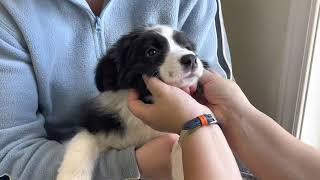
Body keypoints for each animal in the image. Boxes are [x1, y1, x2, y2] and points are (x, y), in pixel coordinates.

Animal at [57, 25, 208, 180]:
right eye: (151, 52)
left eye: (187, 47)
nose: (191, 58)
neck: (146, 99)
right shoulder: (99, 126)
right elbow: (81, 143)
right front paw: (70, 175)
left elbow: (180, 140)